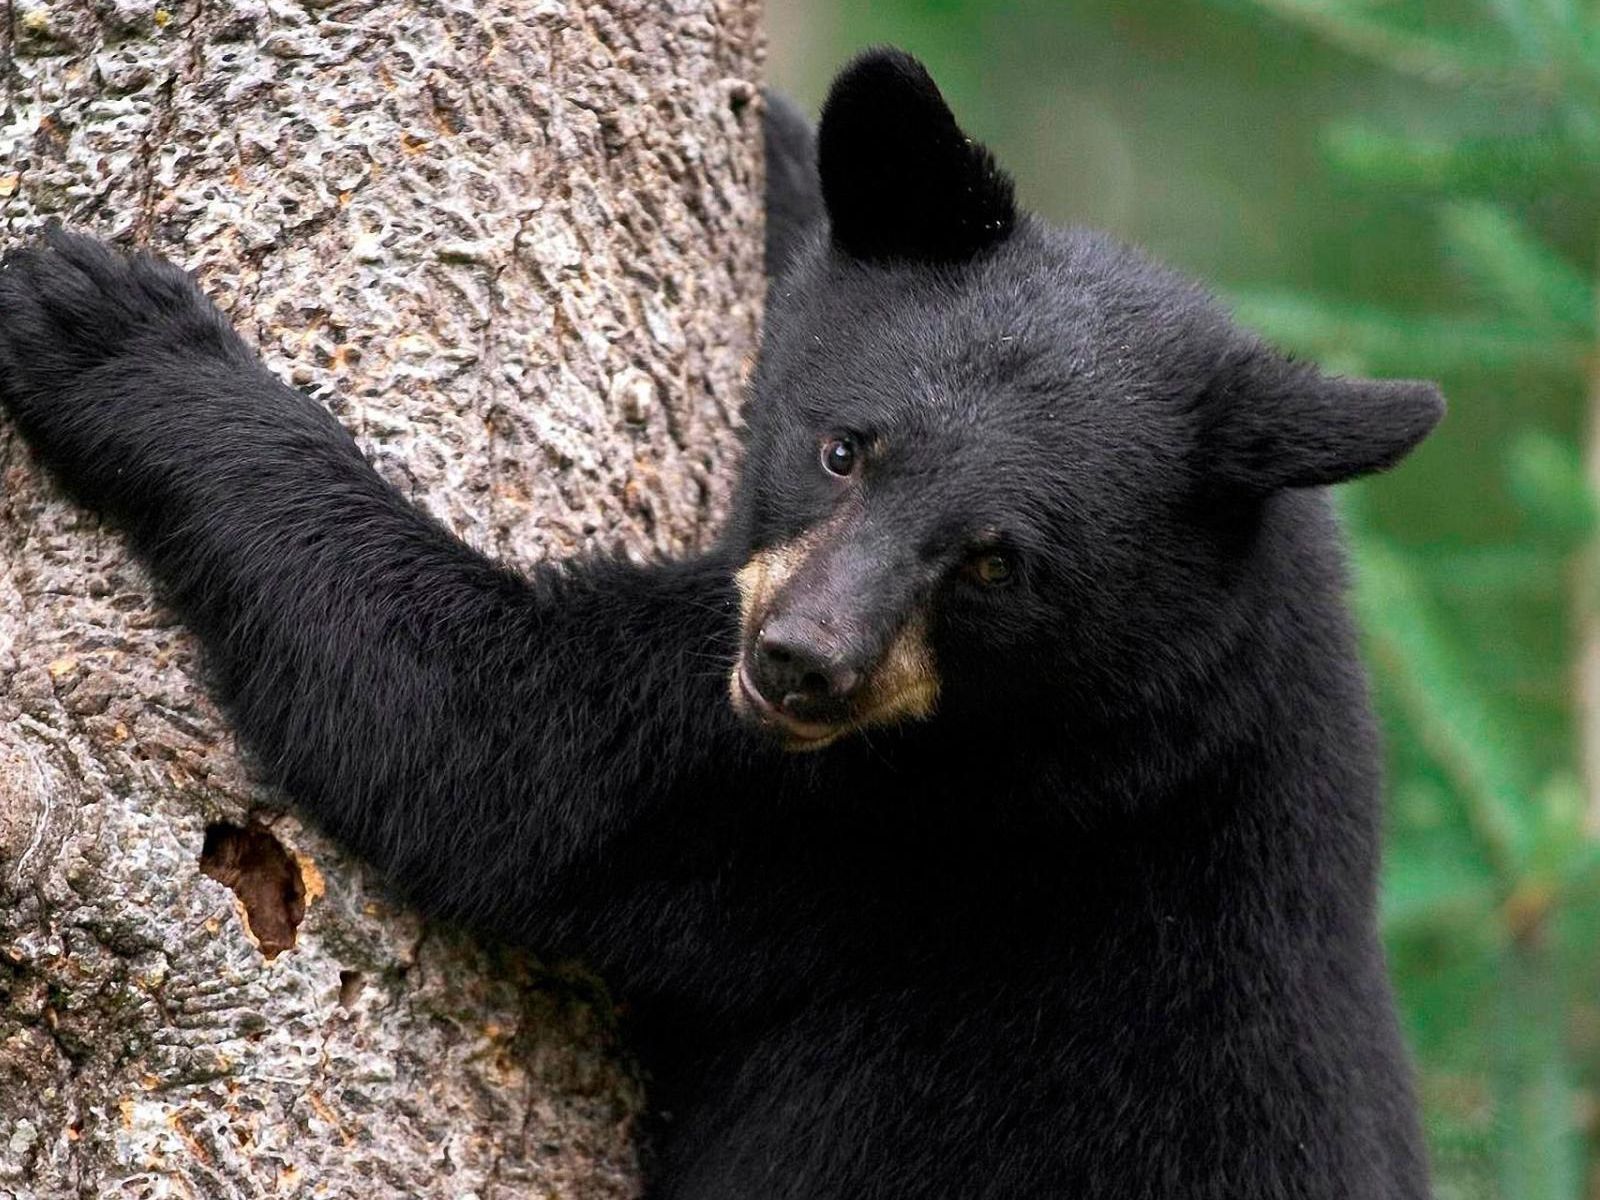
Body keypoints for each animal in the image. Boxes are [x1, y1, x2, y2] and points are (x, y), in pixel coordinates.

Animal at [0, 47, 1440, 1200]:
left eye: (993, 563)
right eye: (843, 446)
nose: (799, 665)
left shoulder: (923, 813)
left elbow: (499, 751)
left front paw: (113, 333)